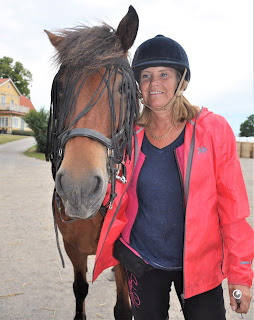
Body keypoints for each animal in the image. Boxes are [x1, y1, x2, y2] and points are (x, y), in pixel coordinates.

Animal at [44, 5, 139, 320]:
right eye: (61, 87)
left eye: (122, 87)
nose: (79, 188)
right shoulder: (74, 250)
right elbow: (80, 290)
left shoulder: (120, 256)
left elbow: (123, 307)